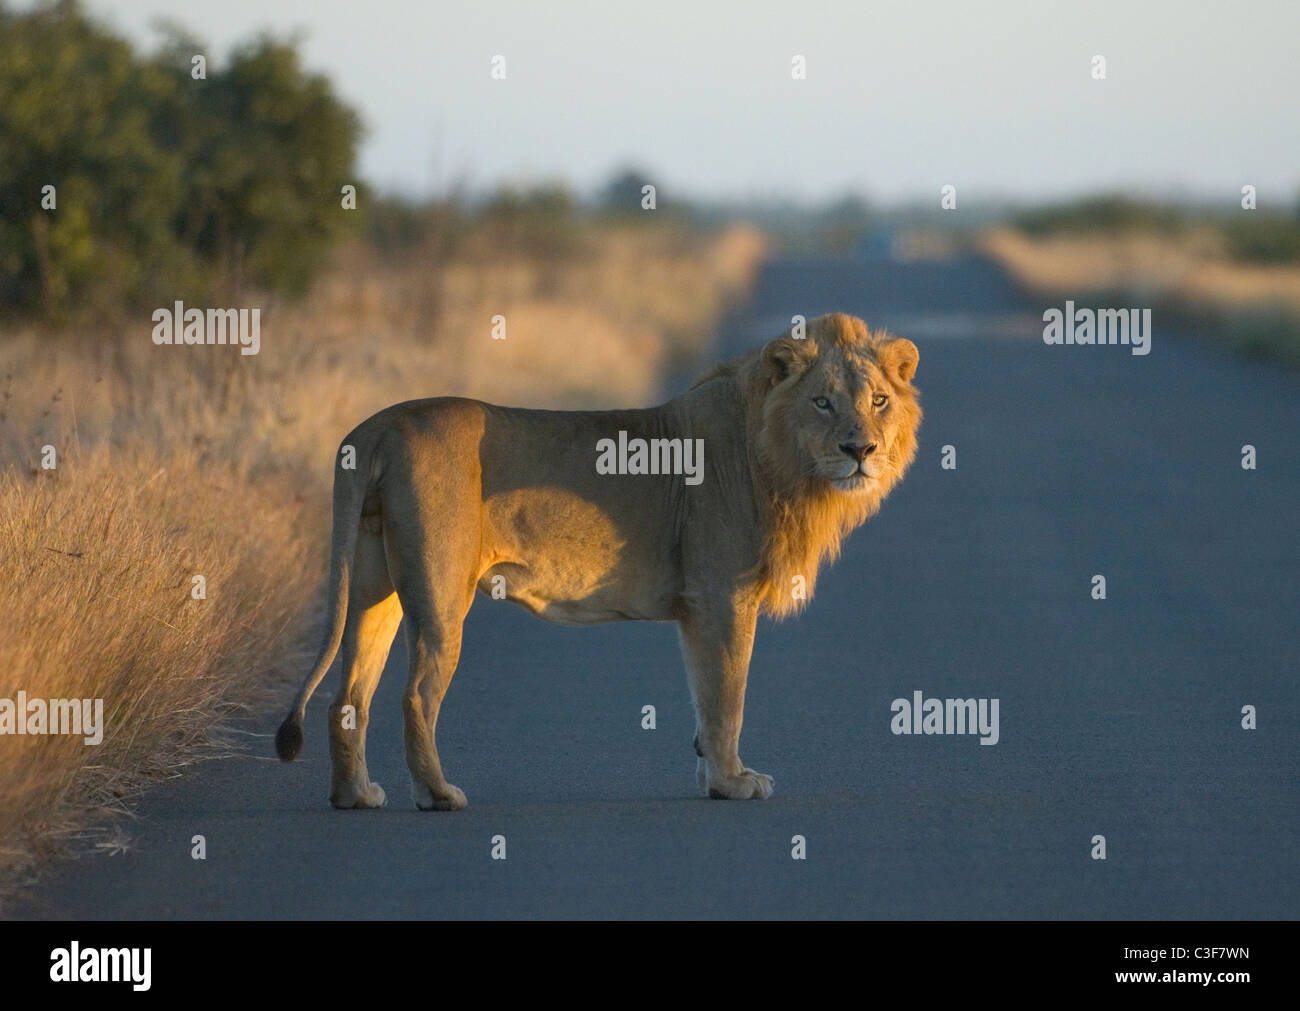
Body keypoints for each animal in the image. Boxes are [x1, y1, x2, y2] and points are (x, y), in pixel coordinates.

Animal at [278, 310, 920, 805]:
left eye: (879, 401)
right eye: (822, 403)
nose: (860, 450)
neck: (778, 460)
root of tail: (379, 425)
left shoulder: (696, 608)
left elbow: (705, 698)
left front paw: (713, 777)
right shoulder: (722, 595)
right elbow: (727, 696)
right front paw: (735, 783)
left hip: (375, 584)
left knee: (348, 696)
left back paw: (354, 796)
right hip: (439, 590)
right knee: (415, 695)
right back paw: (437, 794)